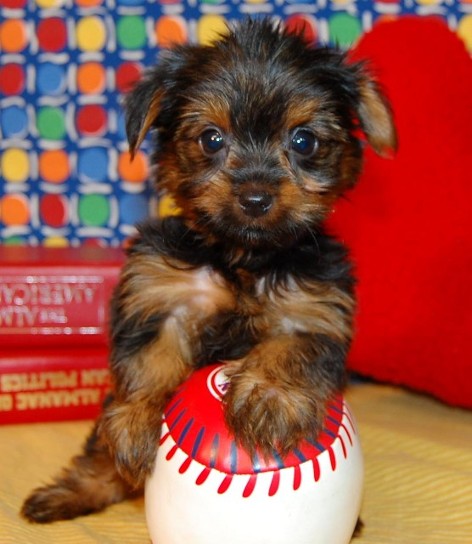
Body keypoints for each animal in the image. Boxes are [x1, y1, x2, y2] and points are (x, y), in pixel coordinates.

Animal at [22, 18, 394, 524]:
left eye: (304, 141)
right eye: (211, 139)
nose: (255, 197)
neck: (243, 257)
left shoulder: (313, 307)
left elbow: (292, 348)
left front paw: (267, 397)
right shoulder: (164, 293)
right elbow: (151, 359)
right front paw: (138, 419)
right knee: (101, 441)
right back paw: (83, 485)